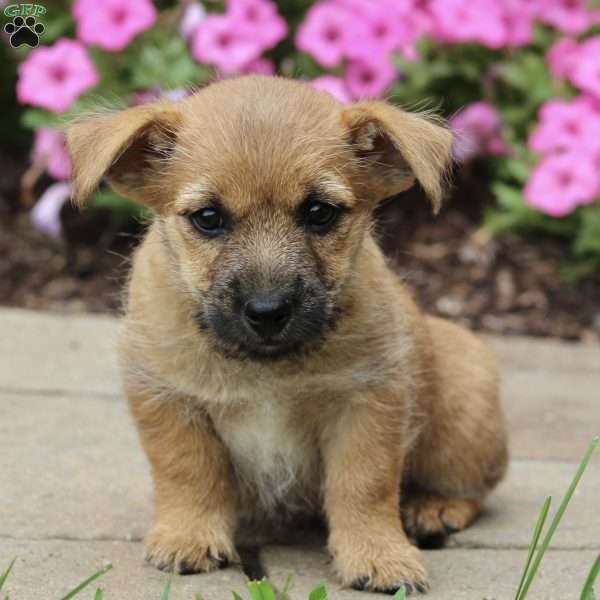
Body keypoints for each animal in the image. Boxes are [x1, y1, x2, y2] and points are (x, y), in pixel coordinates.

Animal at [68, 76, 508, 596]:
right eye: (208, 218)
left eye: (319, 212)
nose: (267, 311)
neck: (266, 368)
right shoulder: (167, 396)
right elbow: (188, 470)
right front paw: (189, 537)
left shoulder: (368, 403)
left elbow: (365, 484)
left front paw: (378, 555)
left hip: (464, 404)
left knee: (474, 486)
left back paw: (434, 507)